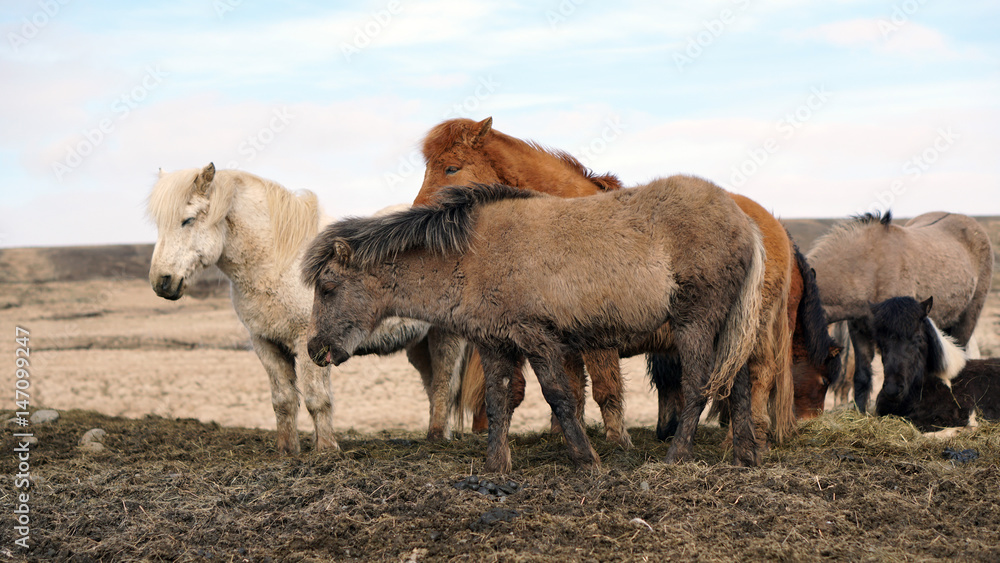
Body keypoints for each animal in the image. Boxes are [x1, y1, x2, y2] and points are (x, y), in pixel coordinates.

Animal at [147, 163, 444, 454]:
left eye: (188, 220)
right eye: (159, 224)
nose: (161, 282)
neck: (278, 262)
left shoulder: (310, 343)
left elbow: (317, 399)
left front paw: (326, 451)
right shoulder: (264, 342)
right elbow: (283, 400)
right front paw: (288, 451)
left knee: (443, 385)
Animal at [303, 179, 768, 472]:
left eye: (326, 287)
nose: (313, 349)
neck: (472, 255)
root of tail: (745, 223)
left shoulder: (537, 338)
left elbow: (559, 396)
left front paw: (586, 460)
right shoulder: (494, 344)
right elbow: (498, 402)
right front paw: (496, 466)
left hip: (695, 323)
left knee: (700, 384)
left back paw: (677, 457)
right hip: (724, 326)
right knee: (739, 381)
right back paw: (744, 456)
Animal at [417, 117, 795, 455]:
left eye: (451, 168)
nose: (418, 218)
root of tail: (764, 225)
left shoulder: (597, 339)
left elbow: (605, 390)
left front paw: (618, 441)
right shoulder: (565, 341)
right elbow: (572, 391)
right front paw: (568, 439)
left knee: (757, 376)